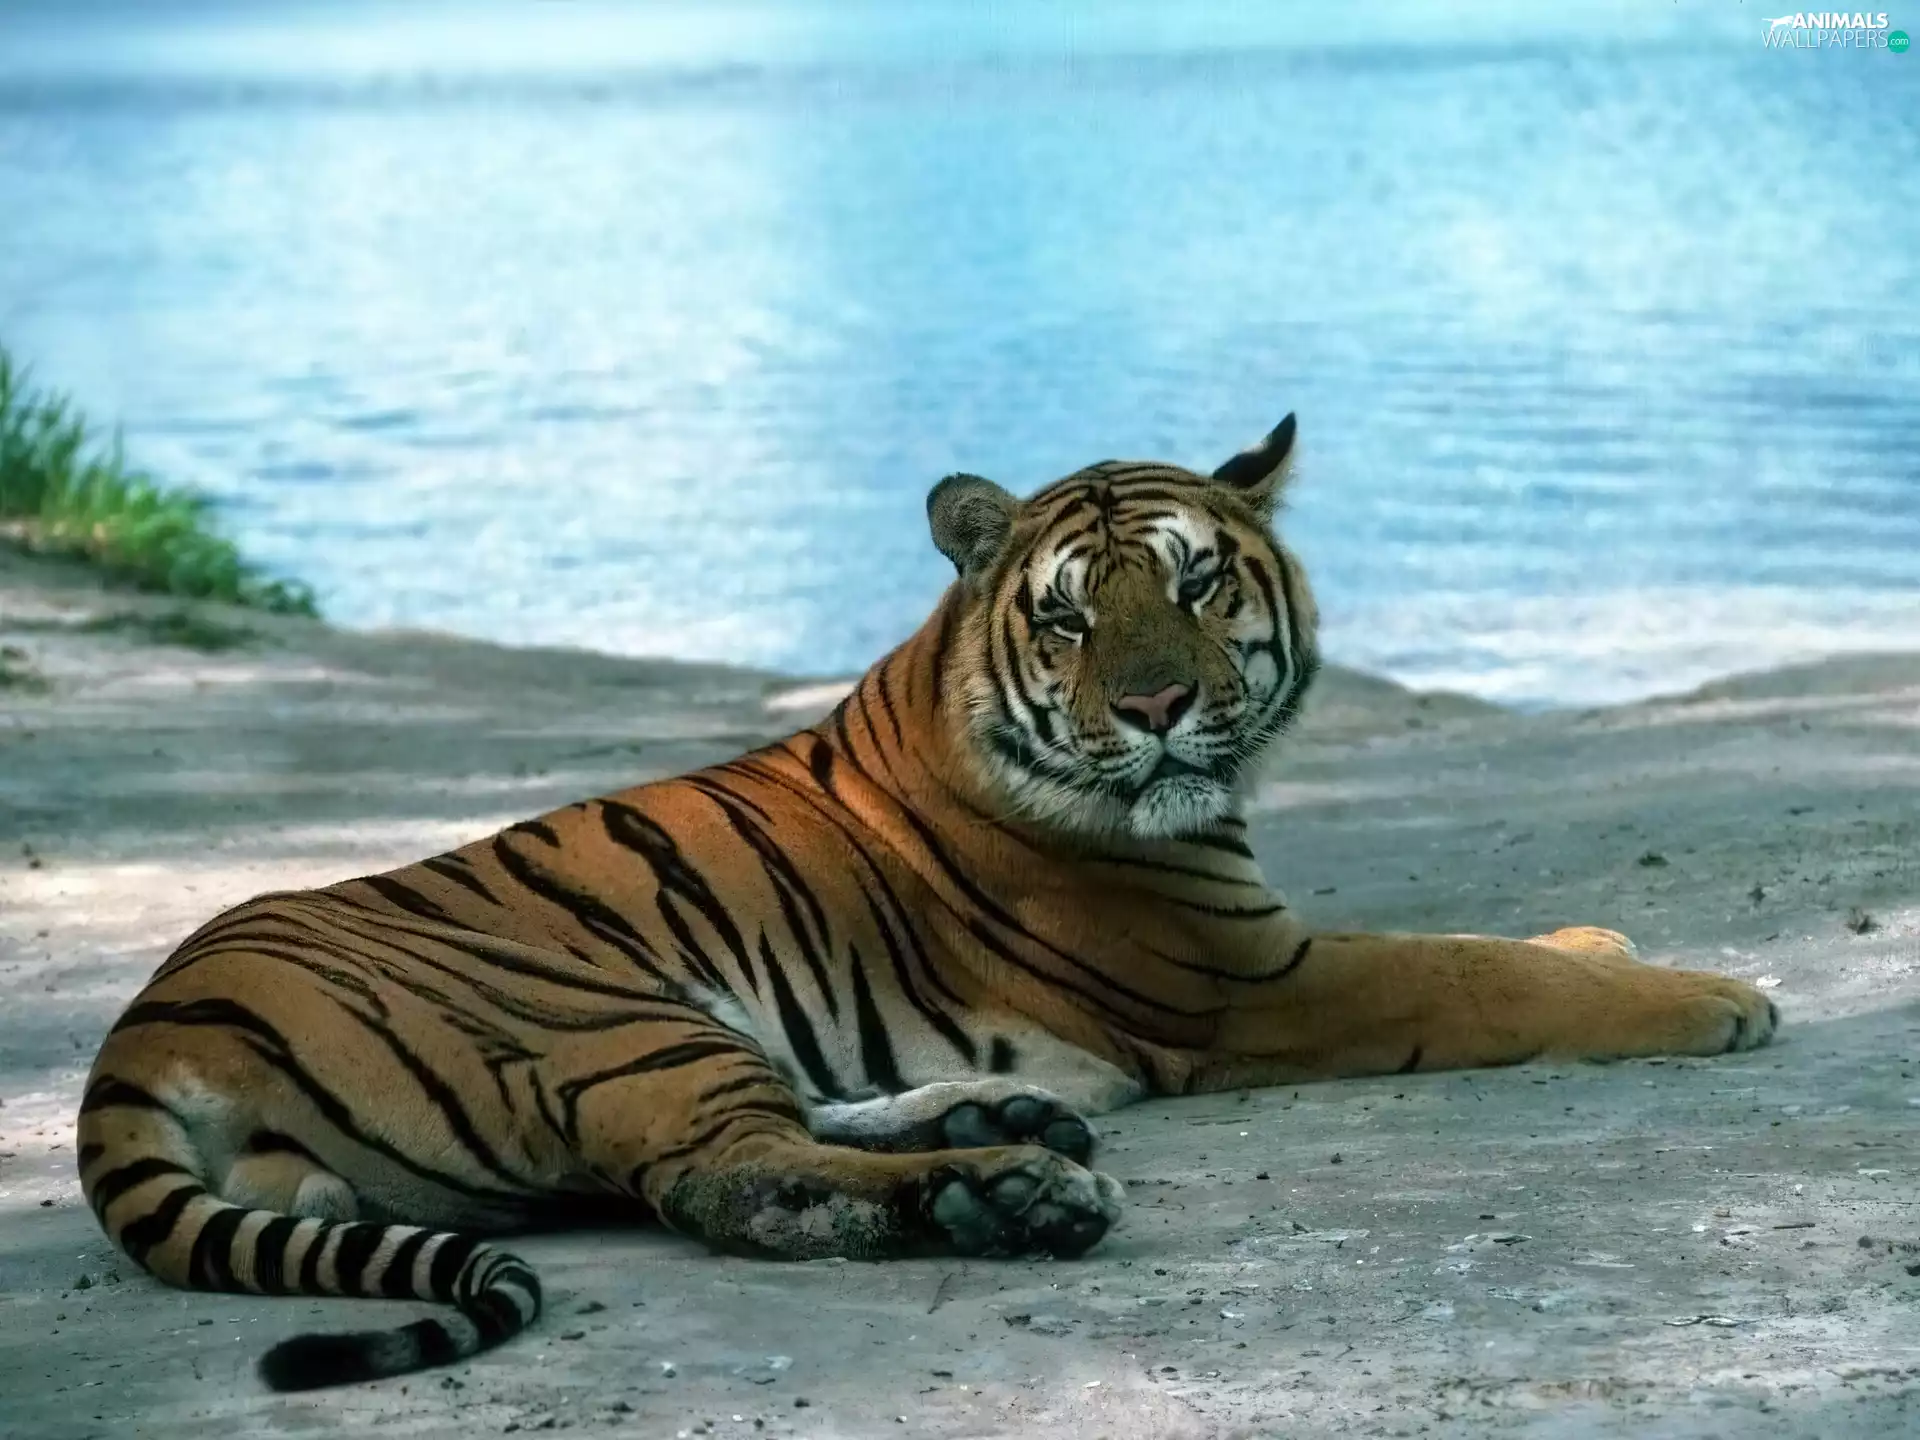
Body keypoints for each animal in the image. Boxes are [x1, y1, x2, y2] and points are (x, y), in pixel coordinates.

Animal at [77, 413, 1778, 1391]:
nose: (1157, 708)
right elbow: (1485, 968)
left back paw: (1000, 1125)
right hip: (602, 1009)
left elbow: (1519, 940)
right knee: (733, 1182)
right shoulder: (1257, 983)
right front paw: (1718, 995)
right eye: (1076, 616)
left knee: (737, 1146)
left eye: (1200, 583)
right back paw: (1012, 1193)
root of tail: (145, 1033)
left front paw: (1618, 937)